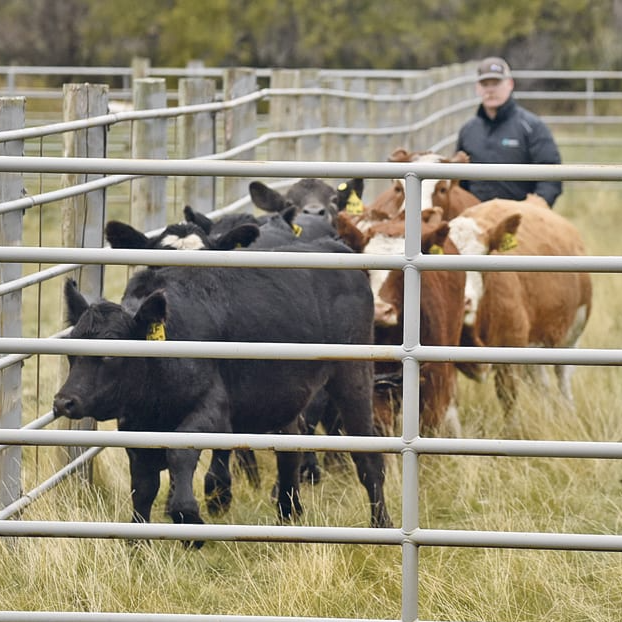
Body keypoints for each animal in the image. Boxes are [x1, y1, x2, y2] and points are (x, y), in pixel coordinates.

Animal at [54, 244, 394, 544]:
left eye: (111, 354)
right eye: (71, 351)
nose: (64, 401)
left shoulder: (213, 410)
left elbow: (181, 452)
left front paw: (188, 517)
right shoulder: (136, 430)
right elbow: (143, 488)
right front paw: (137, 547)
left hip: (353, 375)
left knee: (368, 457)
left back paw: (381, 524)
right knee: (289, 449)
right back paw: (288, 513)